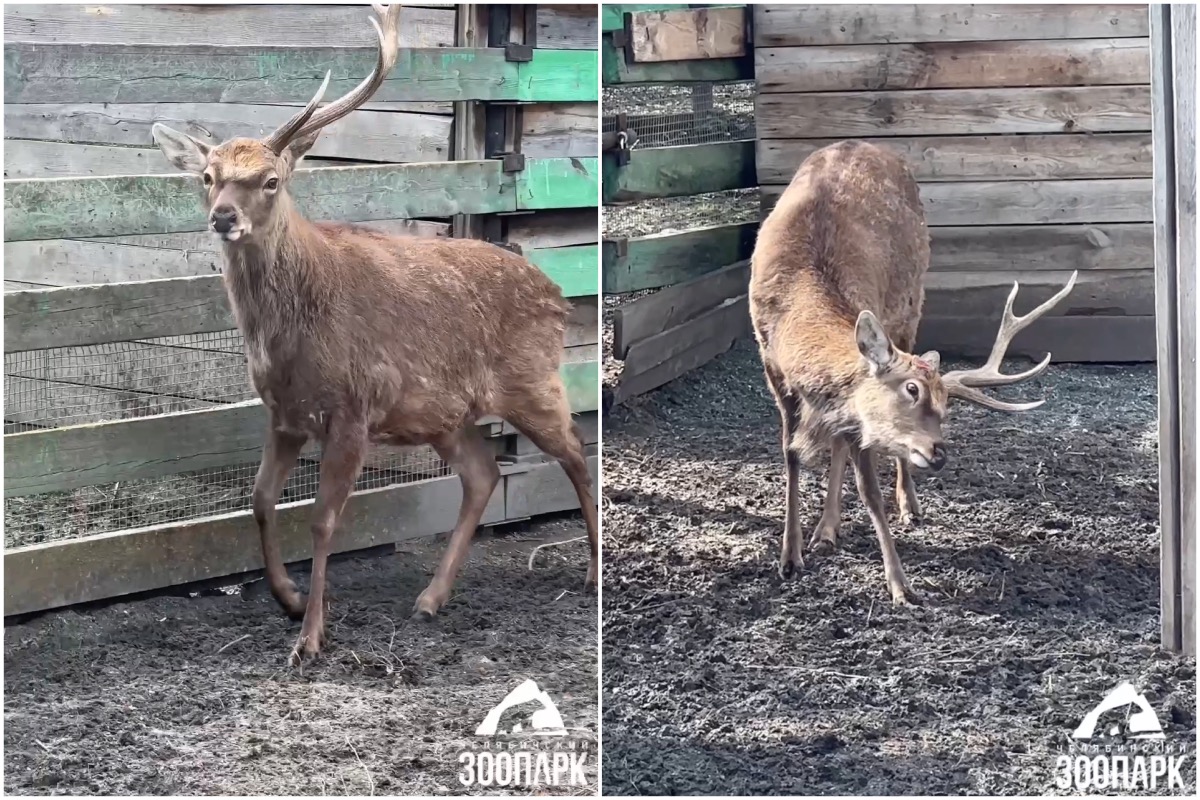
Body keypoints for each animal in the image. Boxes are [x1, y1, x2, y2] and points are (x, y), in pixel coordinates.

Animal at [151, 4, 600, 662]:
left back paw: (591, 572)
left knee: (577, 453)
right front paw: (287, 600)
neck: (285, 337)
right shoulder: (284, 413)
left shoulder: (353, 407)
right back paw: (431, 598)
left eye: (270, 180)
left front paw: (311, 635)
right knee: (483, 474)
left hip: (534, 382)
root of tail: (558, 294)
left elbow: (322, 519)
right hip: (445, 413)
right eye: (207, 176)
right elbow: (259, 500)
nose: (222, 217)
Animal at [748, 140, 1080, 606]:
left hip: (911, 304)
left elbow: (869, 489)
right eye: (911, 390)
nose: (940, 453)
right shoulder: (770, 365)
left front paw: (900, 584)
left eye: (945, 406)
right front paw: (790, 556)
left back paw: (905, 505)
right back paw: (826, 529)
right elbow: (791, 454)